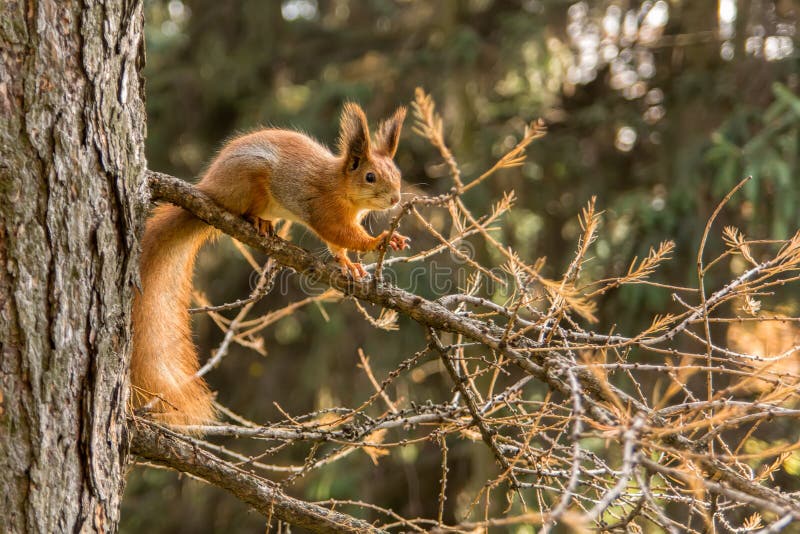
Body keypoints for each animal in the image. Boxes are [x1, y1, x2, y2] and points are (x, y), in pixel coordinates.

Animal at [132, 102, 410, 426]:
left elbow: (338, 246)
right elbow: (340, 234)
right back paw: (256, 220)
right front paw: (379, 240)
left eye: (397, 173)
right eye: (370, 177)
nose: (395, 199)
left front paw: (348, 263)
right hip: (249, 181)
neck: (341, 186)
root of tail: (210, 187)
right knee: (240, 208)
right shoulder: (324, 210)